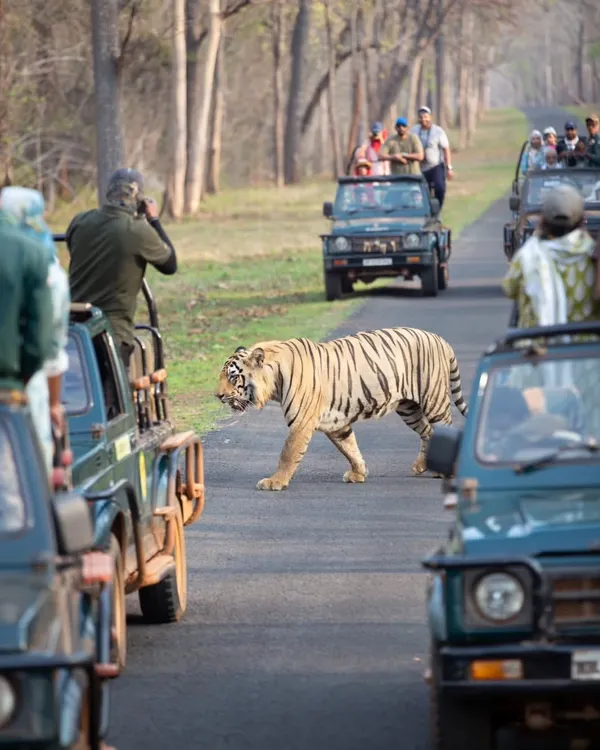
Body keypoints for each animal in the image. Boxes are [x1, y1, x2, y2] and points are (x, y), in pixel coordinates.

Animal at [215, 327, 468, 491]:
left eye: (233, 376)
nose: (218, 396)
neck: (275, 381)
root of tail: (440, 338)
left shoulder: (301, 422)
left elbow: (288, 454)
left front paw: (274, 482)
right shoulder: (336, 423)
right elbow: (349, 448)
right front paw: (358, 473)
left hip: (433, 400)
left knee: (444, 428)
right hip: (408, 407)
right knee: (428, 432)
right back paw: (422, 466)